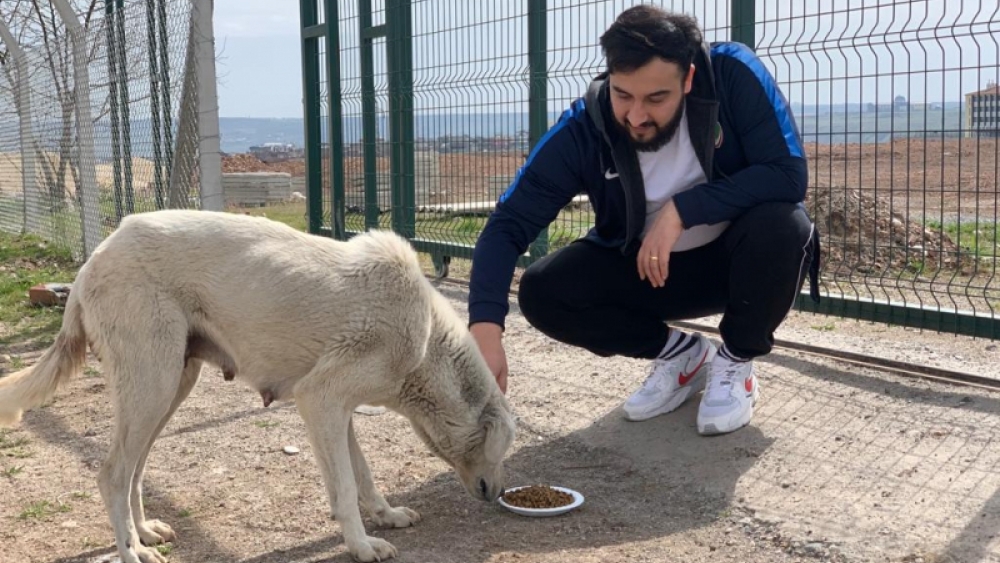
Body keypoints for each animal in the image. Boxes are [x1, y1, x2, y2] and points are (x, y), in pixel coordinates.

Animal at [0, 212, 516, 563]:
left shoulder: (335, 412)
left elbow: (362, 476)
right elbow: (346, 488)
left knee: (134, 470)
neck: (426, 343)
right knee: (111, 474)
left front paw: (385, 515)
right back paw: (132, 551)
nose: (497, 494)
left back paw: (144, 531)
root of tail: (93, 260)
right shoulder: (320, 400)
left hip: (169, 387)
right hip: (152, 385)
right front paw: (361, 545)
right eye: (505, 449)